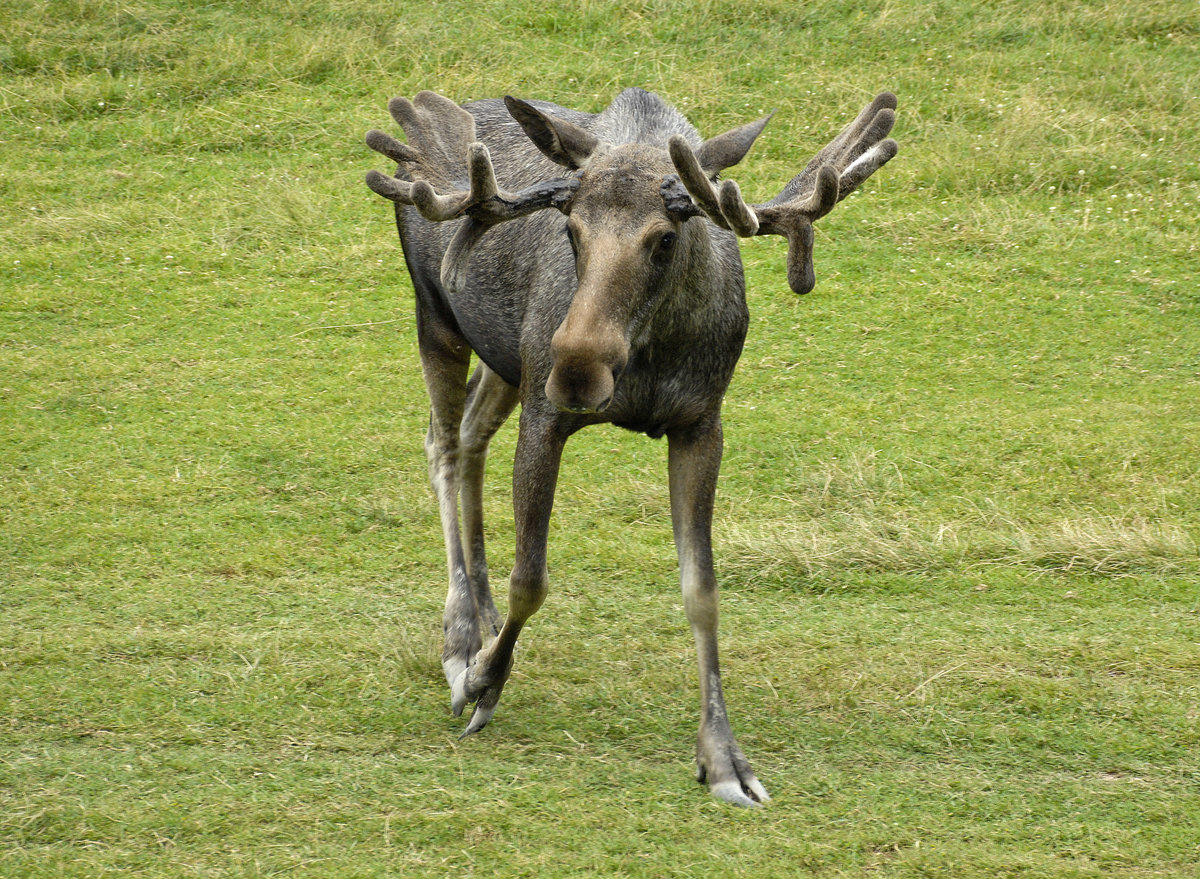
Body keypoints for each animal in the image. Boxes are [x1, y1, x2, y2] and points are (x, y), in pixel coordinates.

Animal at [364, 87, 902, 802]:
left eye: (665, 237)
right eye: (569, 229)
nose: (576, 367)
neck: (653, 354)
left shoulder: (701, 424)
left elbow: (702, 589)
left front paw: (724, 758)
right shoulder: (546, 414)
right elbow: (530, 577)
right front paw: (483, 681)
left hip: (506, 363)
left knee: (473, 435)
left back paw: (479, 619)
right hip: (439, 320)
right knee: (443, 446)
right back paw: (459, 640)